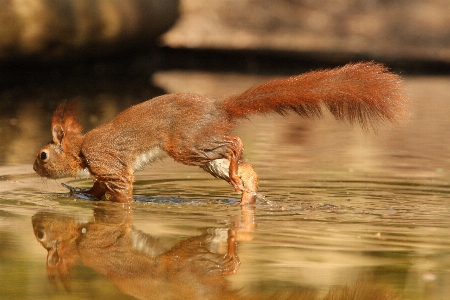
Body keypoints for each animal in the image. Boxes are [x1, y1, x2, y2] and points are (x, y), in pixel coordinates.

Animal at [33, 62, 406, 205]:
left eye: (43, 155)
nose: (34, 167)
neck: (81, 148)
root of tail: (219, 108)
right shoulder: (103, 170)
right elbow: (97, 188)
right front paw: (81, 194)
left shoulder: (106, 162)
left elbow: (121, 189)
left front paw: (115, 204)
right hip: (203, 153)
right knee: (239, 165)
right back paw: (246, 191)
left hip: (186, 143)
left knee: (234, 143)